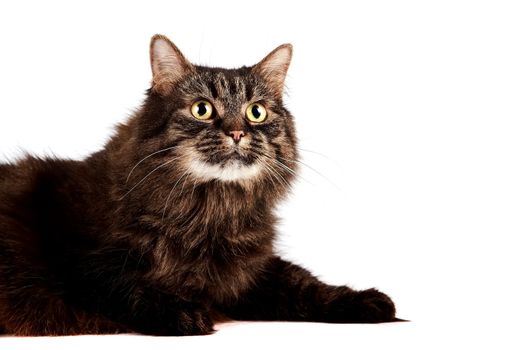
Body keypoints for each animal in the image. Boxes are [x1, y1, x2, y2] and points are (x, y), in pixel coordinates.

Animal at [0, 34, 396, 336]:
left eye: (256, 112)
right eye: (202, 109)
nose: (237, 132)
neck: (210, 211)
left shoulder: (251, 272)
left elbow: (303, 282)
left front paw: (366, 301)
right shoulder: (83, 264)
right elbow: (129, 285)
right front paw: (183, 313)